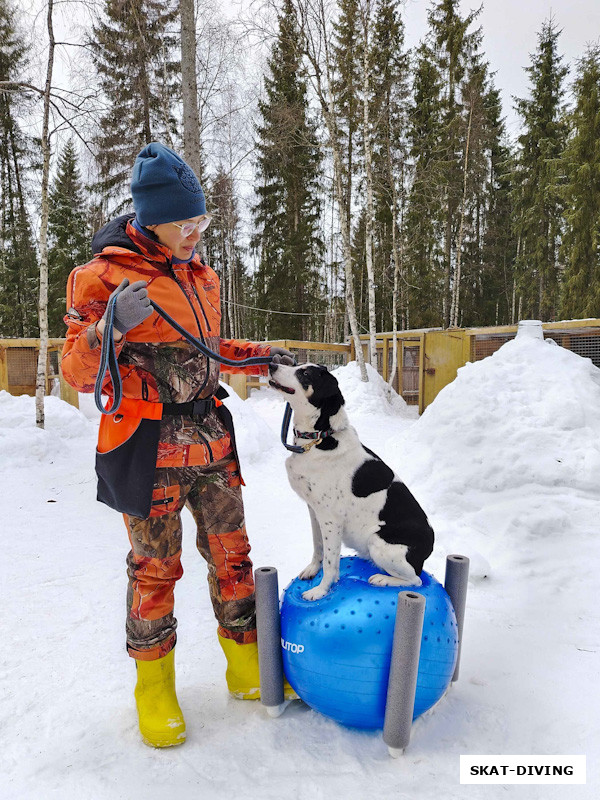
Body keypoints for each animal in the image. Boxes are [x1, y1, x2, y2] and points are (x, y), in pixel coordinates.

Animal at [270, 362, 434, 600]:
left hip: (377, 541)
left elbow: (330, 563)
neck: (320, 438)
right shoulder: (314, 511)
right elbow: (318, 547)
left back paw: (382, 579)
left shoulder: (331, 520)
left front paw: (320, 591)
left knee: (416, 580)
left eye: (305, 373)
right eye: (297, 365)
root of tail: (430, 543)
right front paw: (312, 570)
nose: (272, 363)